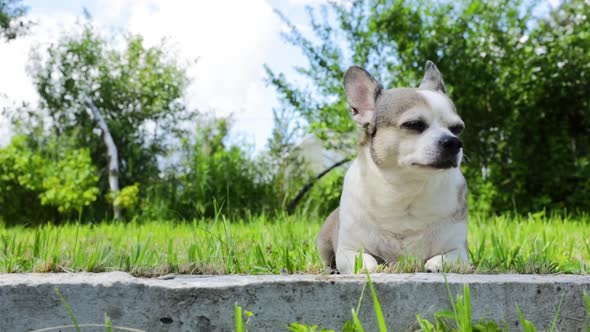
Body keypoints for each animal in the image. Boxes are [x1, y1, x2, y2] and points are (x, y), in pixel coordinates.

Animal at [316, 61, 470, 274]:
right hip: (324, 241)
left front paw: (435, 264)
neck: (406, 188)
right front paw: (369, 267)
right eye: (414, 124)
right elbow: (365, 261)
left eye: (457, 128)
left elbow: (446, 259)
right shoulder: (347, 250)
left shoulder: (460, 251)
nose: (454, 142)